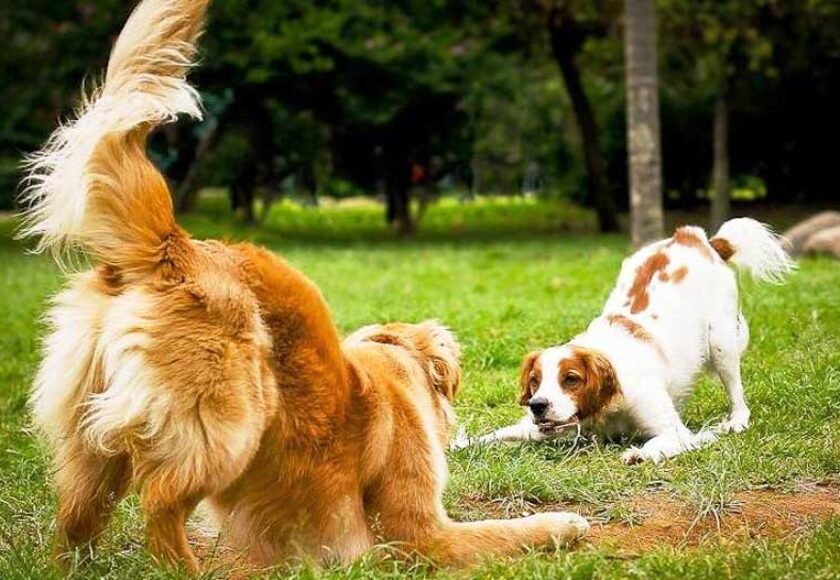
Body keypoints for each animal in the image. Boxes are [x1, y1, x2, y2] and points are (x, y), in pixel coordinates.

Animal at [462, 220, 796, 464]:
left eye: (571, 379)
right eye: (535, 381)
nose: (537, 405)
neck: (609, 399)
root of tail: (696, 237)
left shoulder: (674, 431)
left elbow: (661, 442)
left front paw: (639, 454)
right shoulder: (548, 428)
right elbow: (499, 434)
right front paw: (464, 443)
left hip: (721, 341)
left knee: (737, 393)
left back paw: (736, 421)